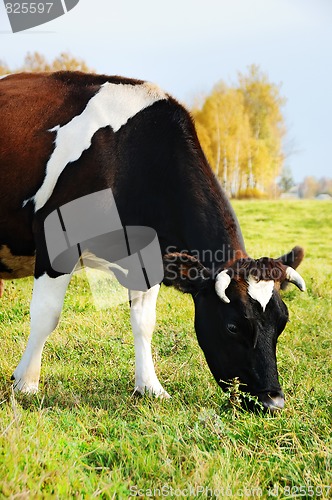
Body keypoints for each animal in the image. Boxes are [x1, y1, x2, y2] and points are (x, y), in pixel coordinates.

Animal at [0, 72, 306, 412]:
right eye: (233, 326)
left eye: (282, 322)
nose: (273, 401)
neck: (125, 157)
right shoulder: (56, 244)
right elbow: (46, 316)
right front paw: (26, 383)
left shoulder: (148, 261)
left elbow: (145, 322)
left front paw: (150, 387)